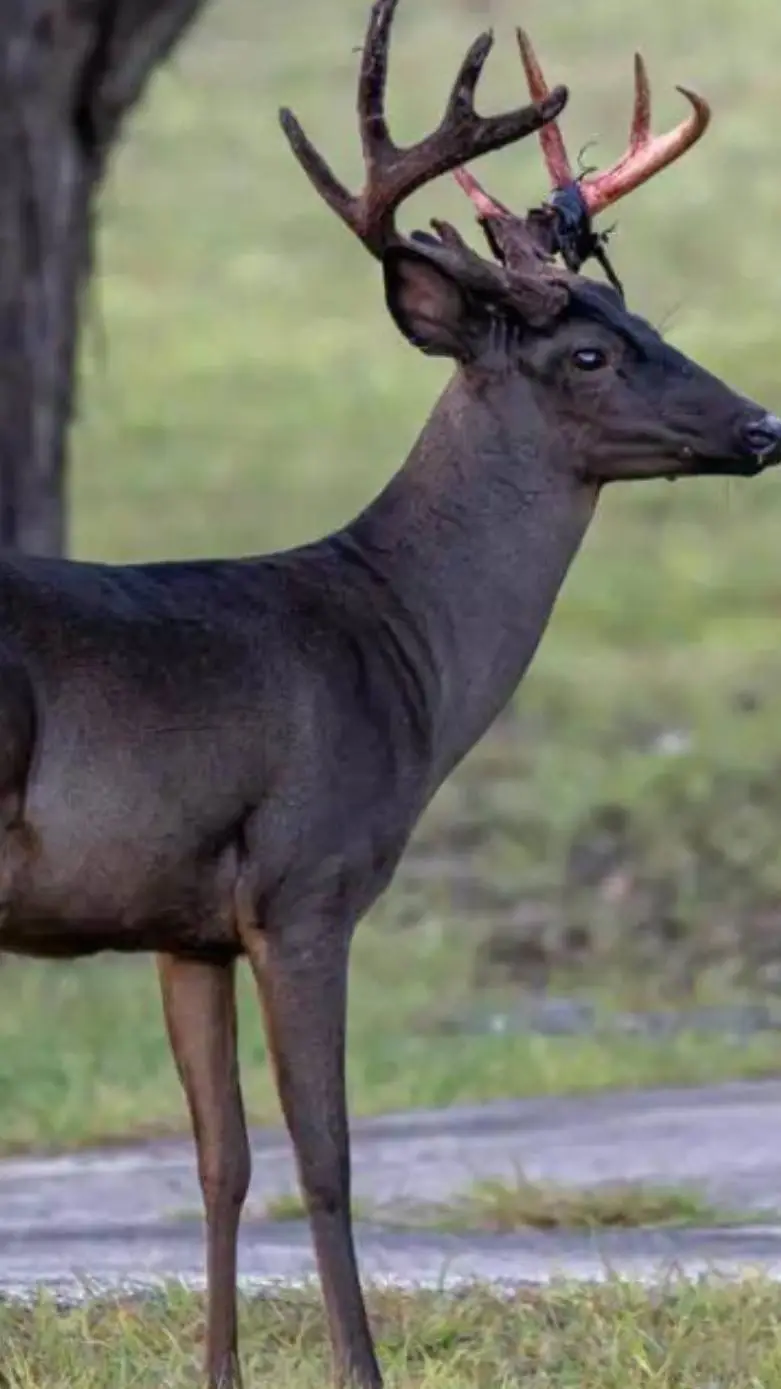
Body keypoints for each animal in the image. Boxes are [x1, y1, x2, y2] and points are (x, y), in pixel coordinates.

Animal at [0, 0, 779, 1385]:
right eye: (589, 350)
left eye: (634, 308)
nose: (761, 426)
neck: (392, 643)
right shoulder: (306, 884)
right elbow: (325, 1161)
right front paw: (357, 1367)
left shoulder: (182, 922)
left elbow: (220, 1162)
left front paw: (220, 1373)